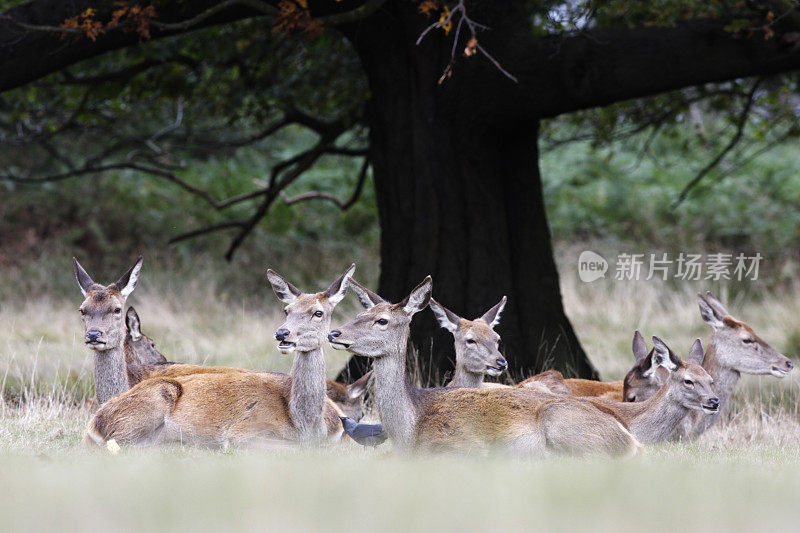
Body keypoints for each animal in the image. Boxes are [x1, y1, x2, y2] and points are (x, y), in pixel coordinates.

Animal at [83, 264, 354, 446]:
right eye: (286, 310)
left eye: (318, 313)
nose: (282, 333)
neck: (307, 426)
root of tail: (93, 425)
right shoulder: (244, 432)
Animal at [328, 276, 640, 456]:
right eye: (359, 314)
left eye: (382, 320)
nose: (334, 333)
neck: (410, 429)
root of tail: (632, 442)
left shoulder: (459, 446)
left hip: (563, 423)